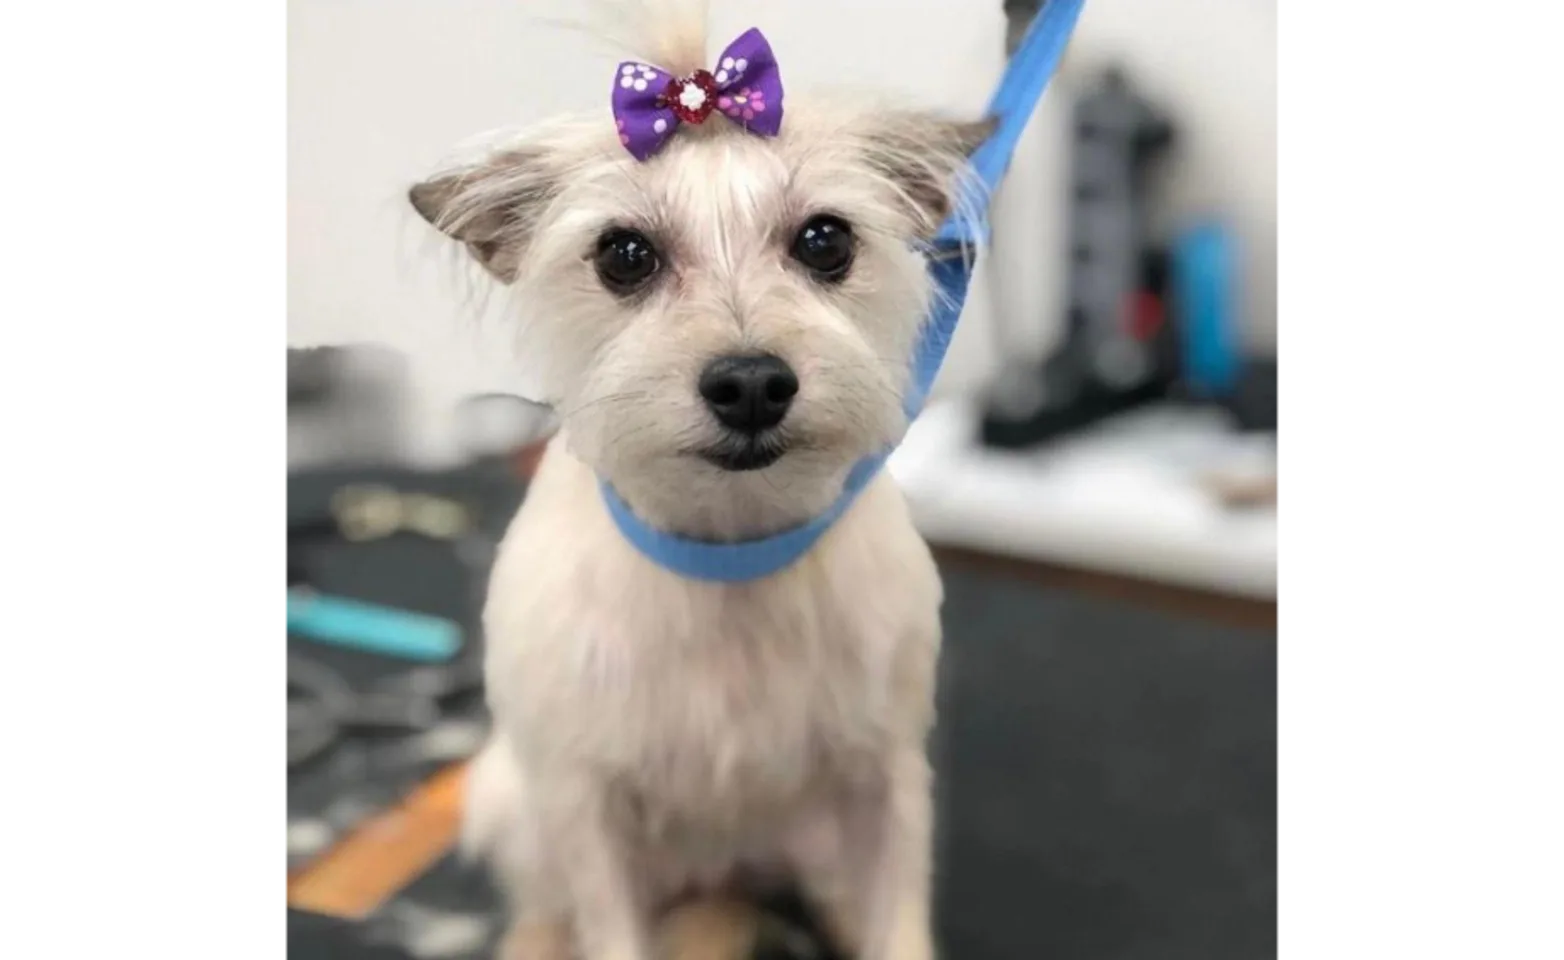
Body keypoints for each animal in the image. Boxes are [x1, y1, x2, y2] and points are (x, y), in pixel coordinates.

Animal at [406, 3, 988, 956]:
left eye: (826, 240)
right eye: (624, 254)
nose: (750, 382)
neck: (730, 548)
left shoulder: (884, 779)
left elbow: (898, 918)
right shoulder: (588, 808)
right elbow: (604, 924)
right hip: (507, 801)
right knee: (545, 904)